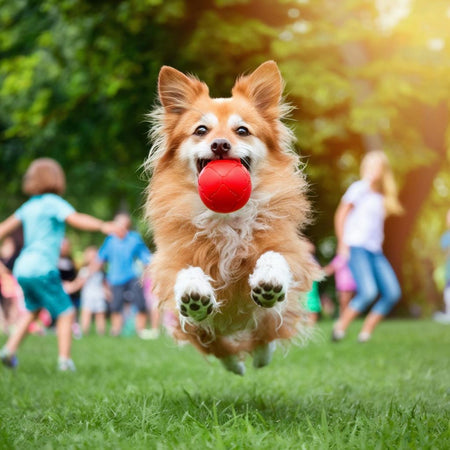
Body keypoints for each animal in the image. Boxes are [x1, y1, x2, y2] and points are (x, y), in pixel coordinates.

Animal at [146, 60, 322, 376]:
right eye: (201, 130)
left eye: (242, 130)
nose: (220, 144)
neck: (225, 217)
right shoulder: (169, 264)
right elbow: (185, 271)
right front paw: (194, 292)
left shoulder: (294, 252)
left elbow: (275, 256)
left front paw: (268, 280)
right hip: (201, 332)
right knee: (217, 345)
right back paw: (234, 361)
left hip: (266, 320)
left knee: (266, 335)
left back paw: (259, 353)